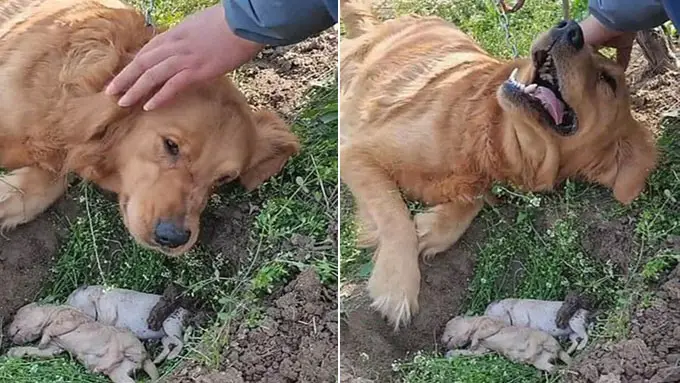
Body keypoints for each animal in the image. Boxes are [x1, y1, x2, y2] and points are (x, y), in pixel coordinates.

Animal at [6, 304, 158, 383]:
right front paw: (15, 352)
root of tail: (145, 358)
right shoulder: (55, 346)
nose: (7, 332)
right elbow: (44, 351)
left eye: (18, 316)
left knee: (119, 353)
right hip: (119, 372)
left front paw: (42, 341)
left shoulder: (68, 319)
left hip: (125, 340)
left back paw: (98, 366)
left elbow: (51, 329)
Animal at [340, 0, 660, 330]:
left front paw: (431, 228)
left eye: (608, 80)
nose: (570, 29)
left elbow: (469, 202)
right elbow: (395, 215)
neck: (499, 142)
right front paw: (396, 285)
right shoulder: (357, 152)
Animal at [444, 316, 572, 374]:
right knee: (553, 368)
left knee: (535, 345)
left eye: (448, 326)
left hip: (541, 338)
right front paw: (450, 353)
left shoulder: (490, 323)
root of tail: (558, 349)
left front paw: (473, 343)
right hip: (541, 362)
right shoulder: (483, 348)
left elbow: (481, 331)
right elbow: (476, 352)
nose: (442, 341)